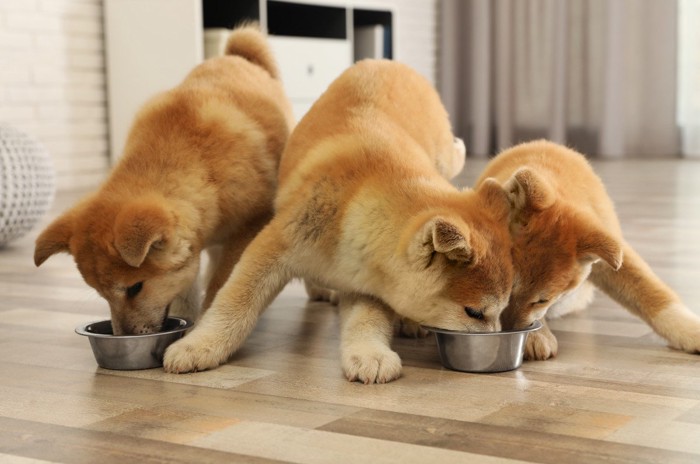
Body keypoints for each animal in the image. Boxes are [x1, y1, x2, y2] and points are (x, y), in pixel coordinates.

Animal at [33, 25, 292, 336]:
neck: (201, 166)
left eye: (134, 288)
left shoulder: (249, 225)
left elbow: (222, 282)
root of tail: (236, 57)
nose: (123, 335)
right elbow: (184, 287)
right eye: (101, 294)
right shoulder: (194, 244)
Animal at [163, 59, 516, 382]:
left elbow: (367, 320)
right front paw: (199, 344)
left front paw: (369, 354)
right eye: (475, 312)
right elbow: (234, 302)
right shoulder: (273, 247)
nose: (497, 339)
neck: (356, 201)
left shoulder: (367, 280)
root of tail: (391, 63)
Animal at [478, 140, 700, 360]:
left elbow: (652, 292)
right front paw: (536, 336)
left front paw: (690, 331)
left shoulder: (612, 256)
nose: (506, 334)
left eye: (542, 300)